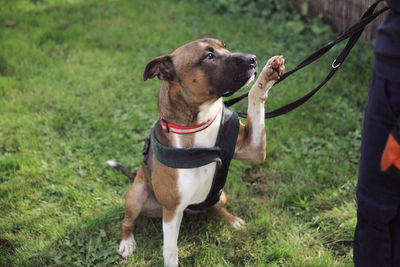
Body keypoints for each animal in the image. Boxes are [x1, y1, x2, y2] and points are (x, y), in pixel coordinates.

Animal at [108, 38, 284, 267]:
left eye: (224, 46)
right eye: (209, 56)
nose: (252, 59)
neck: (198, 123)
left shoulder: (254, 148)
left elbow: (255, 98)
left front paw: (267, 74)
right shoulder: (171, 211)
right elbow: (170, 251)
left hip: (221, 194)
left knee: (217, 207)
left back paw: (232, 220)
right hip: (136, 195)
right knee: (127, 221)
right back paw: (127, 242)